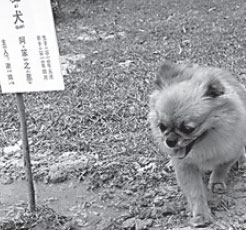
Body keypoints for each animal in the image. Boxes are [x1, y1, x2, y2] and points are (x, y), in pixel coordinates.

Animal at [148, 62, 246, 227]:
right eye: (161, 126)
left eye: (188, 129)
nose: (170, 141)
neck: (205, 144)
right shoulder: (185, 166)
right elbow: (194, 192)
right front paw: (201, 214)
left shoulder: (230, 151)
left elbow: (221, 167)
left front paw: (216, 181)